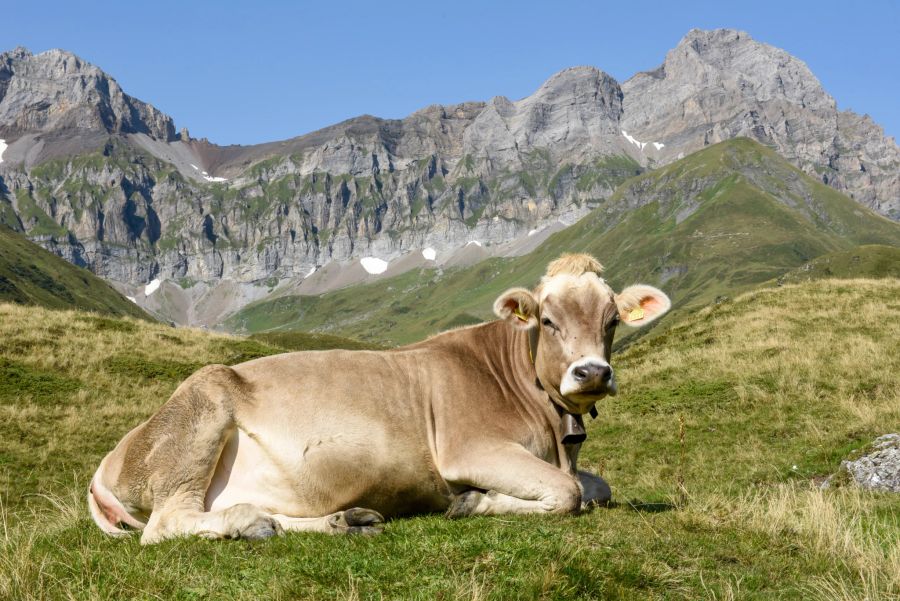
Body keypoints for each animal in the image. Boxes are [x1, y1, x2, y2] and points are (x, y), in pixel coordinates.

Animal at [89, 253, 668, 544]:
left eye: (612, 320)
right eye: (547, 320)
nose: (592, 372)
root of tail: (111, 458)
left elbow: (598, 487)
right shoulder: (470, 448)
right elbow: (568, 494)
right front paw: (472, 502)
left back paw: (333, 521)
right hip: (201, 412)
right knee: (166, 525)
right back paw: (247, 523)